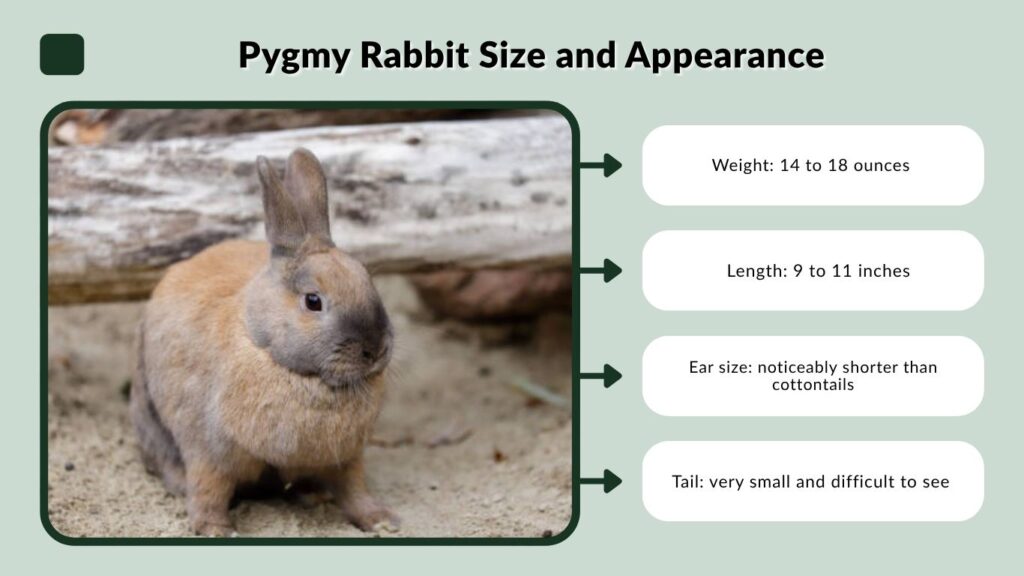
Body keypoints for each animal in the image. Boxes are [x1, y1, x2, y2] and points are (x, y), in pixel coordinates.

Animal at [130, 148, 396, 536]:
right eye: (313, 301)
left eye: (367, 279)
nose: (375, 349)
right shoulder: (209, 452)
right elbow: (208, 490)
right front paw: (216, 530)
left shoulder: (347, 457)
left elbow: (354, 489)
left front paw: (381, 520)